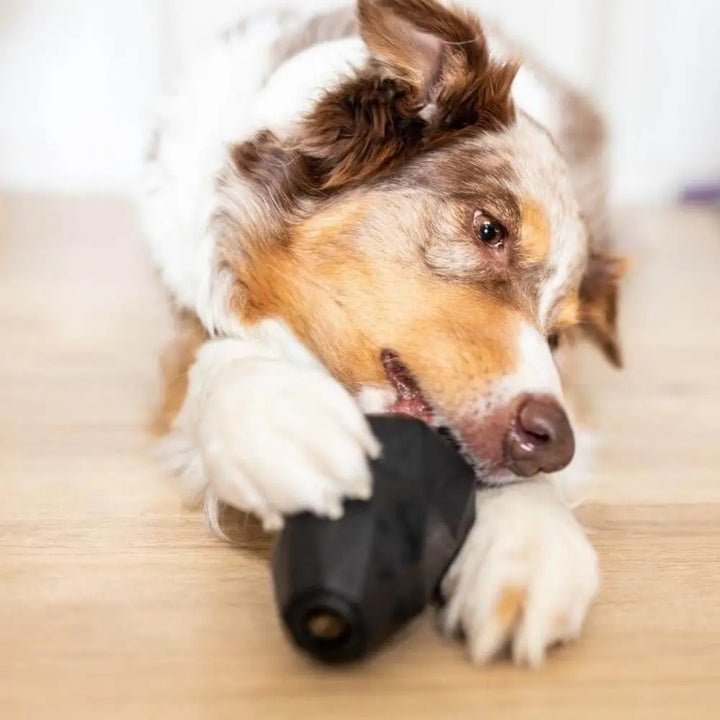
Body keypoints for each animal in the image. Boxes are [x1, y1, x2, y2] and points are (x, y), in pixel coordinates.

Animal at [141, 0, 624, 668]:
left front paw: (531, 544)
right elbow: (211, 358)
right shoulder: (187, 308)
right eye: (490, 230)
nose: (555, 444)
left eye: (556, 338)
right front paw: (280, 420)